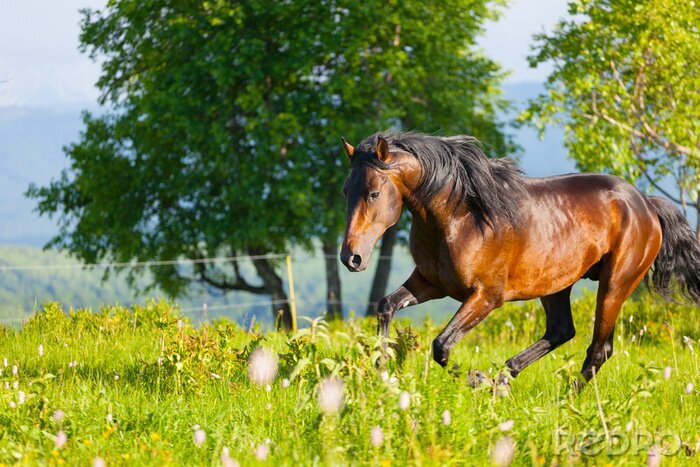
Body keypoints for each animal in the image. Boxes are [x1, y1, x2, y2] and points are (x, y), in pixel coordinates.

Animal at [340, 131, 700, 384]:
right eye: (347, 191)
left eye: (373, 193)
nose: (351, 258)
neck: (460, 217)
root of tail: (646, 204)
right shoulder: (431, 283)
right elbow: (386, 306)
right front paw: (382, 369)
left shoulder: (486, 296)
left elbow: (441, 345)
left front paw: (477, 378)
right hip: (556, 285)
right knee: (561, 331)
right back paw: (505, 377)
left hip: (614, 285)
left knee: (599, 350)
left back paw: (560, 400)